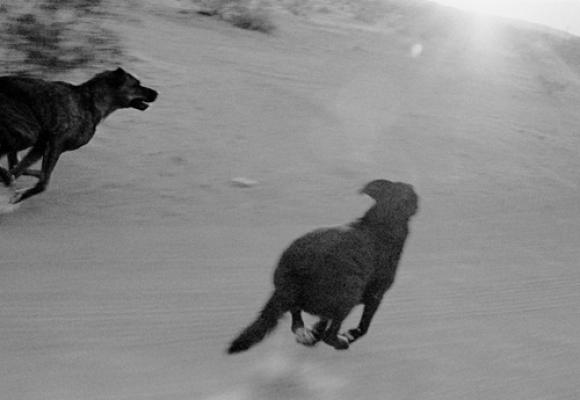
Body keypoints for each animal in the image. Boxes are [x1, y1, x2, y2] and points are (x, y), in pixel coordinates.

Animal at [0, 68, 157, 203]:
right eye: (136, 85)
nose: (157, 93)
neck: (91, 102)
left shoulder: (42, 145)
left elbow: (23, 168)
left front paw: (10, 178)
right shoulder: (55, 143)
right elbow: (42, 181)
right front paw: (18, 192)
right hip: (27, 134)